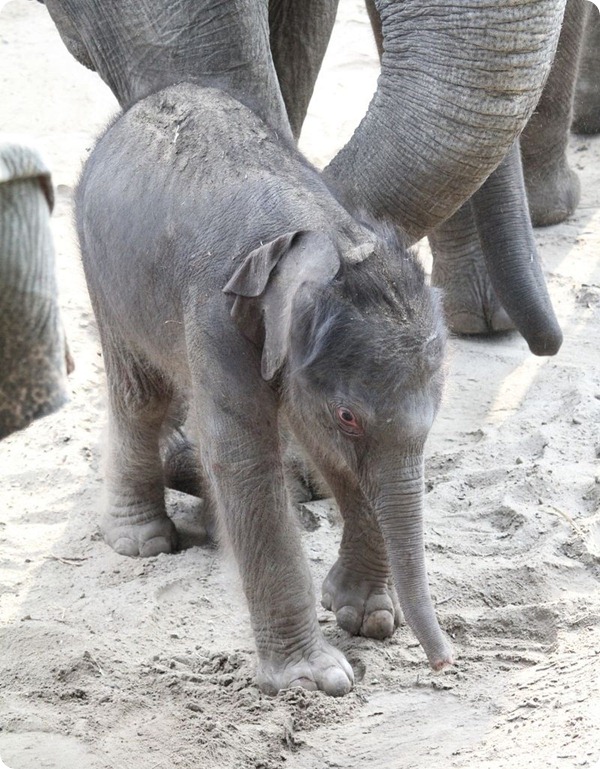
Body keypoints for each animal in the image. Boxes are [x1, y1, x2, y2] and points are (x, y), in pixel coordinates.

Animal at [76, 84, 450, 696]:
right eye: (349, 416)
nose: (444, 663)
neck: (326, 238)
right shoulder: (214, 316)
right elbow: (244, 459)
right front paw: (314, 679)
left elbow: (331, 457)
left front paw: (364, 616)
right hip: (103, 274)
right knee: (141, 395)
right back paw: (143, 541)